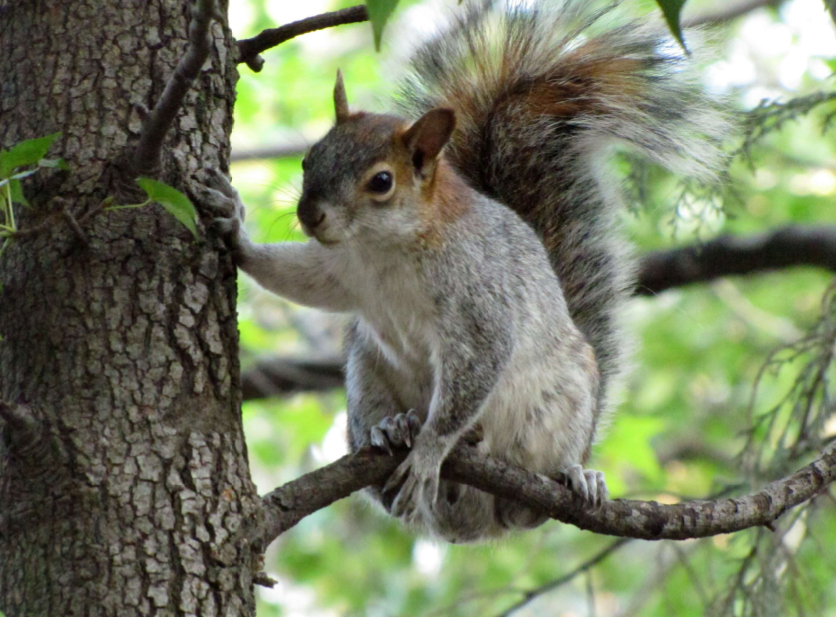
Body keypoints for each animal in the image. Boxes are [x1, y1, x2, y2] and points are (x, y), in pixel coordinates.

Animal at [194, 0, 724, 540]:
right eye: (308, 159)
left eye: (381, 182)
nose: (309, 216)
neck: (386, 249)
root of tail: (473, 520)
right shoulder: (344, 273)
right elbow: (297, 278)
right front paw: (233, 229)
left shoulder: (479, 300)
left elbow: (469, 379)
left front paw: (430, 450)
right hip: (364, 377)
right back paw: (393, 427)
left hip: (565, 403)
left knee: (533, 503)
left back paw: (573, 474)